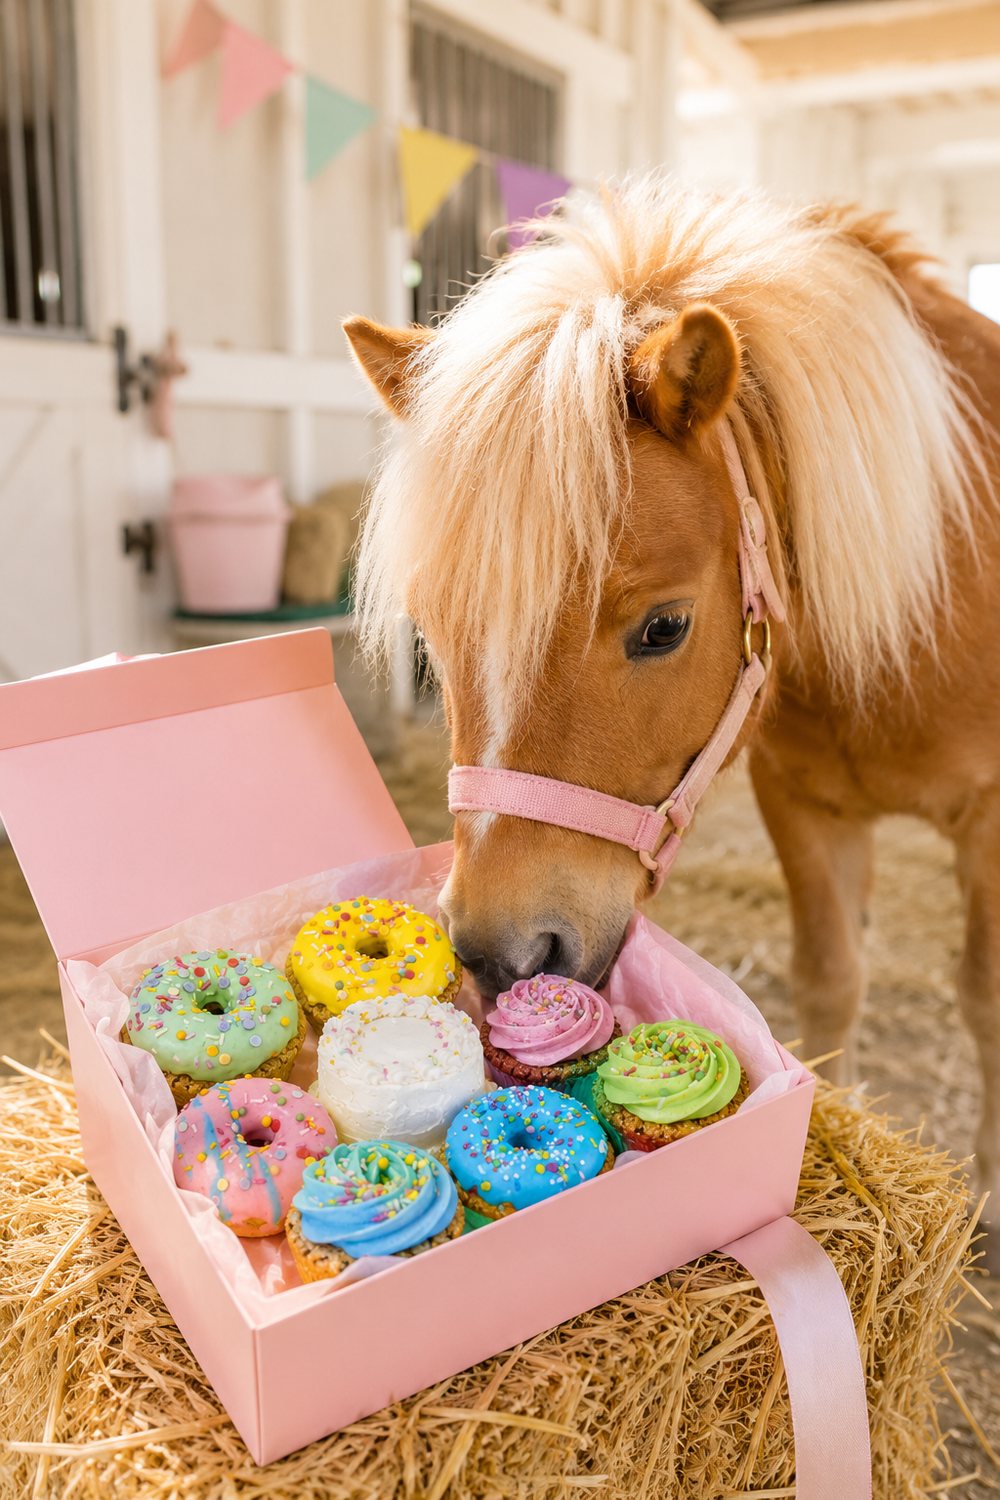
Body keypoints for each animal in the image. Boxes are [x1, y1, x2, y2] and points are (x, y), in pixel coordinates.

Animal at [342, 176, 1000, 1234]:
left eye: (663, 627)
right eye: (432, 637)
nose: (500, 951)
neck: (932, 580)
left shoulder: (991, 825)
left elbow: (984, 997)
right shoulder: (803, 805)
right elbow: (831, 979)